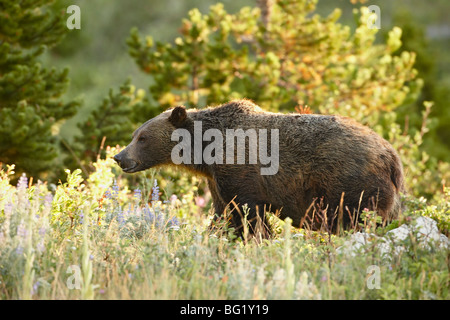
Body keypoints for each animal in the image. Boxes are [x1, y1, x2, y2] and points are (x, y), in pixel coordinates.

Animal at [114, 100, 402, 238]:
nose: (119, 157)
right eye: (135, 134)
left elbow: (247, 213)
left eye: (143, 138)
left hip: (351, 182)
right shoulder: (217, 179)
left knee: (361, 217)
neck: (206, 151)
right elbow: (222, 213)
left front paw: (256, 238)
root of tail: (392, 156)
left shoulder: (241, 171)